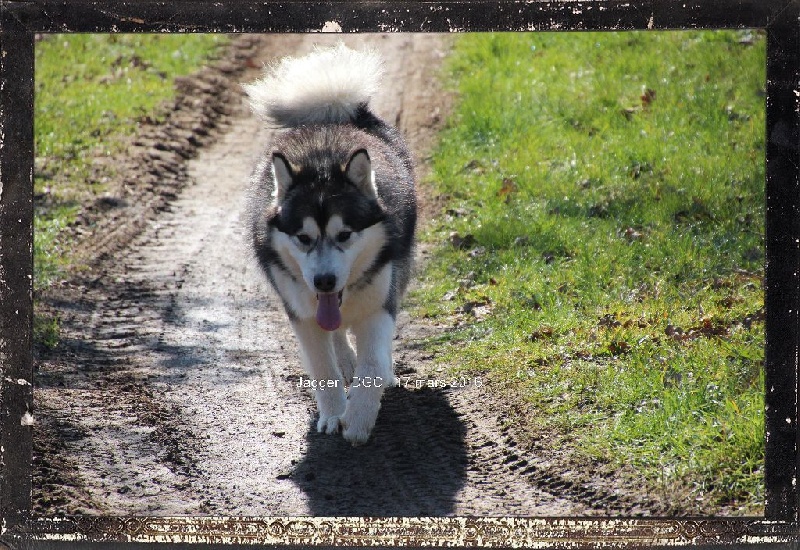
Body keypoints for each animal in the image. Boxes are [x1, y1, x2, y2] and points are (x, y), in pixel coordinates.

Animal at [244, 44, 417, 445]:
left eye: (345, 235)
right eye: (303, 238)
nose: (324, 281)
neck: (323, 161)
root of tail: (332, 111)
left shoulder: (379, 303)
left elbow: (373, 361)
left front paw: (358, 419)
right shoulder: (302, 312)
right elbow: (324, 366)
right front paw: (335, 413)